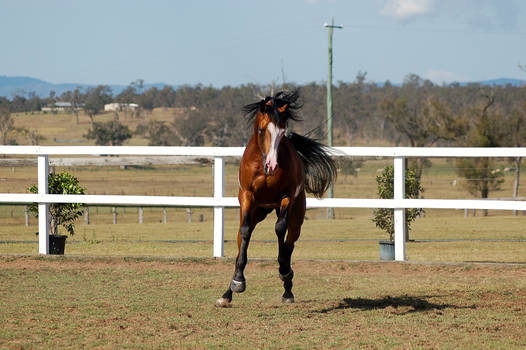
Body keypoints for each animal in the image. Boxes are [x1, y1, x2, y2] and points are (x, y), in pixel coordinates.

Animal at [216, 91, 336, 308]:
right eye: (262, 130)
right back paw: (227, 294)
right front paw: (238, 281)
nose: (272, 166)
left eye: (282, 132)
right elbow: (245, 234)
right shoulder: (247, 197)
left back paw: (287, 284)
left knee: (288, 241)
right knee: (243, 240)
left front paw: (284, 271)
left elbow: (280, 230)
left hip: (295, 217)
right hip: (257, 212)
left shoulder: (286, 197)